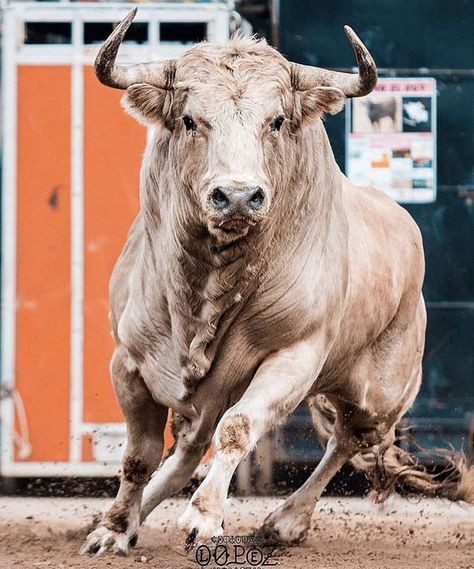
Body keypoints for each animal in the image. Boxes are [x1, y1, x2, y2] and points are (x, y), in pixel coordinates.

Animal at [79, 10, 472, 560]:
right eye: (190, 120)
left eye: (278, 121)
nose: (238, 196)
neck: (205, 289)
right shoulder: (129, 364)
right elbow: (140, 456)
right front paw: (114, 527)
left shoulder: (292, 358)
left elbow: (238, 428)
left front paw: (203, 517)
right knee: (187, 451)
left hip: (382, 392)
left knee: (346, 441)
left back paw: (284, 522)